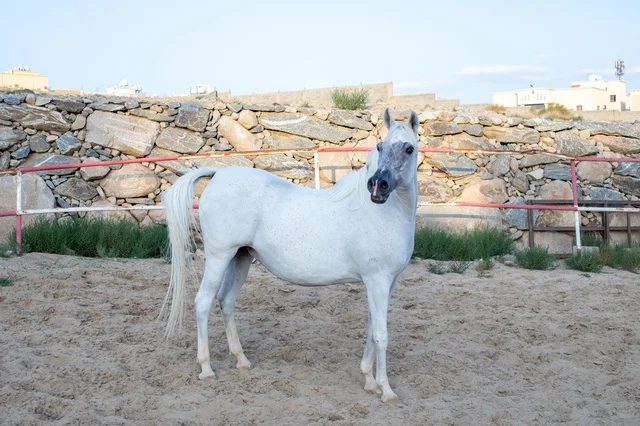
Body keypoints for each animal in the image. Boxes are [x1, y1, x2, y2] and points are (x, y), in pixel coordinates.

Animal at [160, 107, 420, 403]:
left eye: (409, 148)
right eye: (380, 147)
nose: (378, 186)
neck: (382, 213)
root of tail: (216, 174)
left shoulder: (385, 284)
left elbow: (370, 329)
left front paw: (369, 381)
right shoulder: (377, 281)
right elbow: (381, 335)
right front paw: (385, 390)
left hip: (240, 258)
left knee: (226, 301)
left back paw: (242, 360)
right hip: (219, 257)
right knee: (203, 302)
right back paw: (206, 369)